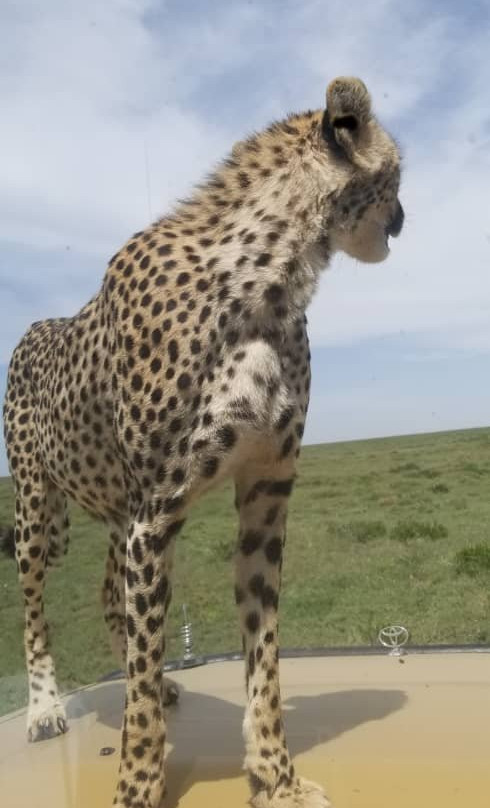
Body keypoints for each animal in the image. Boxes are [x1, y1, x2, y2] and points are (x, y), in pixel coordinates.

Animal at [3, 77, 402, 808]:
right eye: (395, 178)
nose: (403, 220)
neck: (270, 279)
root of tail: (34, 327)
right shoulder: (156, 514)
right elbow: (137, 694)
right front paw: (136, 789)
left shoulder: (262, 497)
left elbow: (263, 661)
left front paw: (278, 779)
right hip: (40, 510)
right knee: (38, 606)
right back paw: (45, 707)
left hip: (120, 513)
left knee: (113, 599)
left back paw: (157, 682)